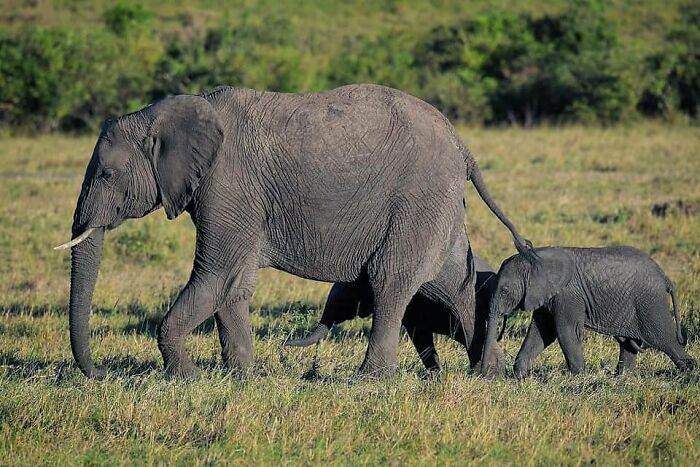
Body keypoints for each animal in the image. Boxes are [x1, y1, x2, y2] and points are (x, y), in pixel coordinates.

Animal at [285, 250, 503, 374]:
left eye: (341, 302)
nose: (284, 345)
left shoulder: (413, 306)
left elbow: (421, 337)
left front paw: (436, 375)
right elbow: (420, 337)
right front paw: (435, 375)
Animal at [480, 246, 695, 378]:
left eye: (504, 290)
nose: (482, 373)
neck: (535, 257)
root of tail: (665, 277)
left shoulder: (567, 294)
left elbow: (565, 331)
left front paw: (578, 376)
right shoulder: (547, 296)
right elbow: (541, 333)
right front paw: (520, 376)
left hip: (650, 302)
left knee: (663, 338)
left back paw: (689, 372)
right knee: (629, 344)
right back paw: (622, 378)